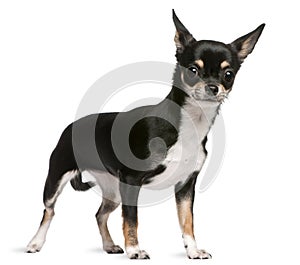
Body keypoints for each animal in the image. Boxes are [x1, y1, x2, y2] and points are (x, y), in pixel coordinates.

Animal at [26, 9, 264, 258]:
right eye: (193, 70)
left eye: (228, 74)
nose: (213, 87)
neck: (190, 124)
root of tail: (70, 126)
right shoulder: (132, 181)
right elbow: (131, 219)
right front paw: (135, 250)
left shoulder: (185, 186)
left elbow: (187, 221)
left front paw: (193, 250)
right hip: (56, 180)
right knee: (49, 211)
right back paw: (36, 243)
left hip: (113, 190)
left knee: (100, 213)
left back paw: (109, 244)